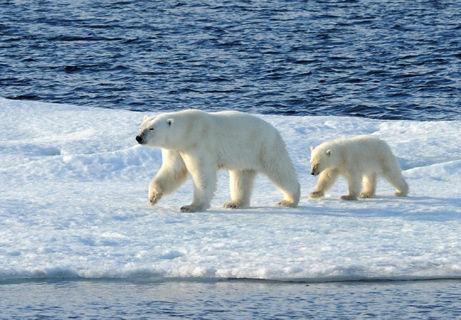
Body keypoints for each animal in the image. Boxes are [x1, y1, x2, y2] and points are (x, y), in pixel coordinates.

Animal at [135, 110, 300, 212]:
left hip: (264, 147)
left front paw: (191, 206)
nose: (138, 137)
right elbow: (173, 171)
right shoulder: (177, 149)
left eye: (152, 128)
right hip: (244, 156)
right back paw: (234, 203)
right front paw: (153, 197)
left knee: (279, 170)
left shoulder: (199, 143)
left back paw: (289, 200)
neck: (188, 129)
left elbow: (202, 174)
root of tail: (274, 130)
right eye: (141, 126)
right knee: (241, 177)